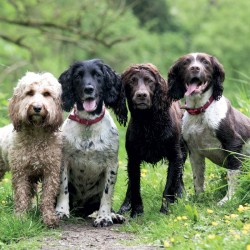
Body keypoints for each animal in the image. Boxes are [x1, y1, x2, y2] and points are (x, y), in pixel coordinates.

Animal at [0, 72, 63, 227]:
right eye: (29, 93)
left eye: (47, 94)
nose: (37, 107)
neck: (36, 135)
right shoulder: (21, 172)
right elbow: (21, 196)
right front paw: (21, 218)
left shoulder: (51, 172)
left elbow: (47, 197)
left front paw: (48, 218)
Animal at [56, 58, 127, 227]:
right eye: (78, 76)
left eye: (98, 75)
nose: (88, 89)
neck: (88, 124)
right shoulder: (64, 161)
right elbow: (63, 188)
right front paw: (61, 211)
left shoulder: (112, 164)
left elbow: (107, 194)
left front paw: (104, 217)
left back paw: (114, 215)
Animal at [116, 63, 186, 218]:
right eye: (132, 81)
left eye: (150, 81)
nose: (141, 95)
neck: (148, 121)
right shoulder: (133, 158)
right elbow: (135, 186)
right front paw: (136, 212)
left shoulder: (175, 156)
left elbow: (169, 186)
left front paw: (165, 210)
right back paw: (124, 206)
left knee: (179, 178)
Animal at [167, 52, 250, 205]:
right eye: (186, 63)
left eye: (205, 62)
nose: (195, 68)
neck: (200, 110)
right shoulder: (194, 151)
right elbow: (198, 178)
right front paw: (199, 198)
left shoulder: (233, 144)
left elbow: (232, 174)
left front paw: (228, 199)